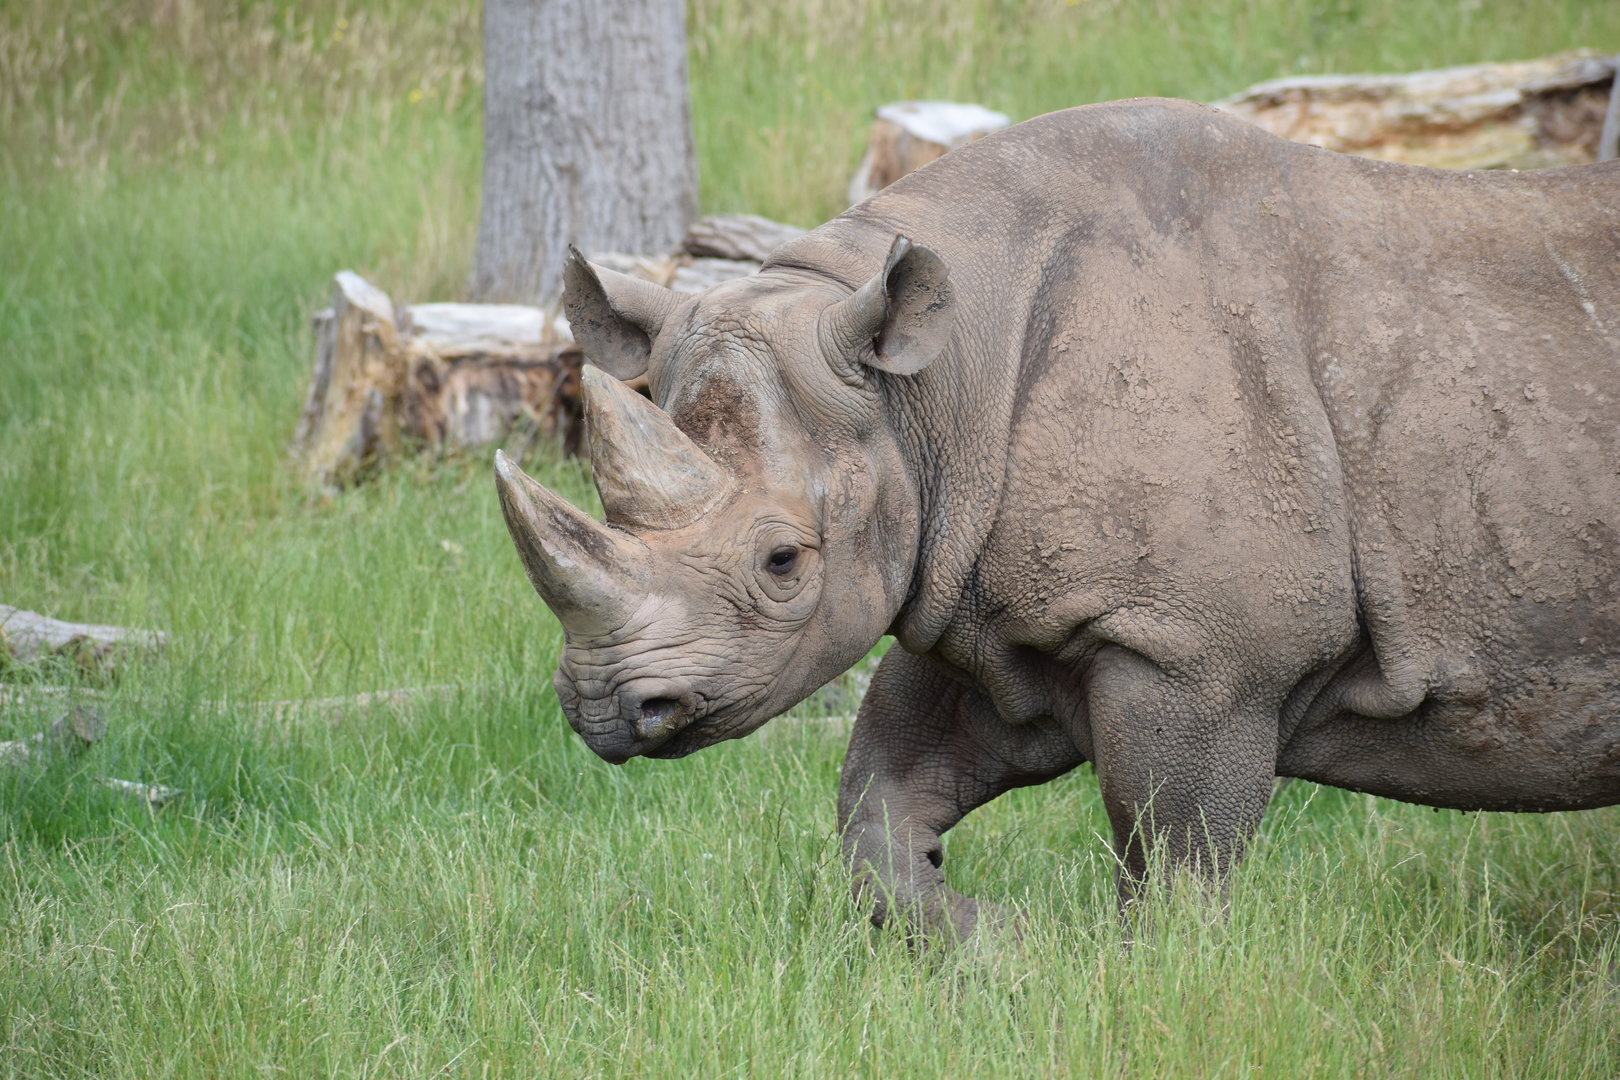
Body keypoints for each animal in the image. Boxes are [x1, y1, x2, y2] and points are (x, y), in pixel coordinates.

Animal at [494, 98, 1620, 942]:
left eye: (781, 562)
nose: (605, 711)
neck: (932, 392)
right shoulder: (980, 599)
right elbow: (877, 807)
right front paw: (1004, 942)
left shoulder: (1197, 653)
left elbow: (1173, 862)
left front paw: (1166, 987)